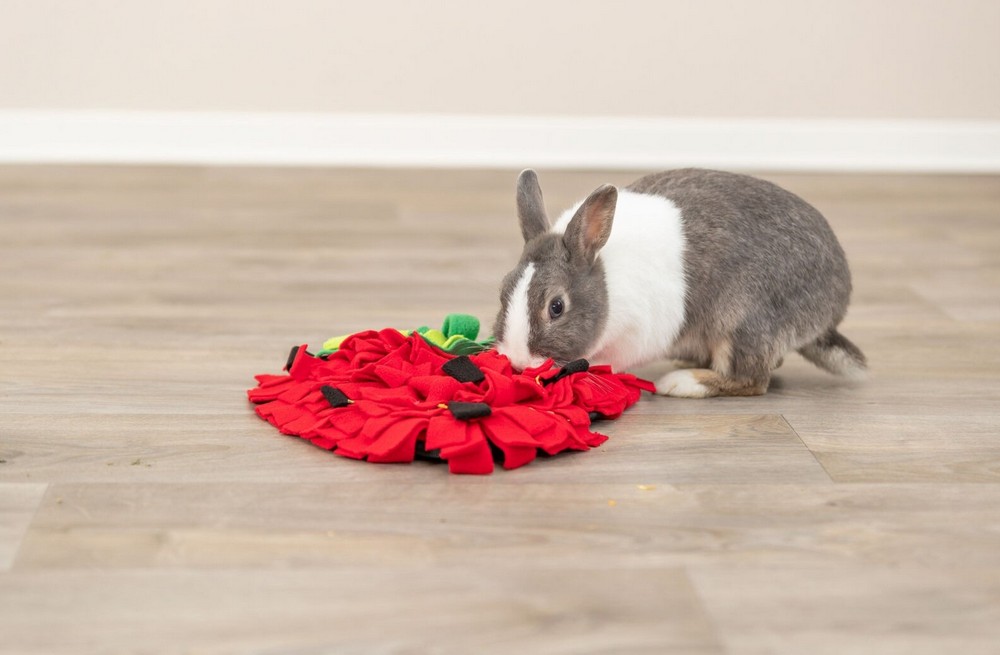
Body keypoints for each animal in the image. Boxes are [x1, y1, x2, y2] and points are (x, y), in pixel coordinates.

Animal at [492, 168, 866, 398]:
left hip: (743, 323)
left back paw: (681, 382)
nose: (519, 361)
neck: (605, 281)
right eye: (503, 292)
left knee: (751, 379)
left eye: (556, 307)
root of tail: (830, 312)